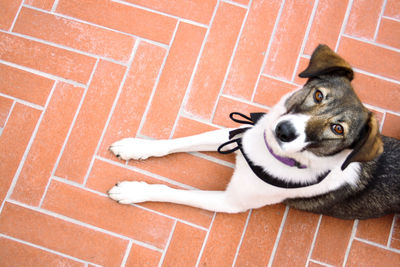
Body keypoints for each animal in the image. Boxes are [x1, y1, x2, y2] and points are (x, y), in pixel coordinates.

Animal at [108, 44, 398, 220]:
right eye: (318, 95)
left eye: (337, 128)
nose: (284, 130)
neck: (272, 154)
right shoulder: (241, 135)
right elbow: (180, 142)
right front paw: (136, 147)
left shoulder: (229, 202)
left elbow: (174, 192)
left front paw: (134, 191)